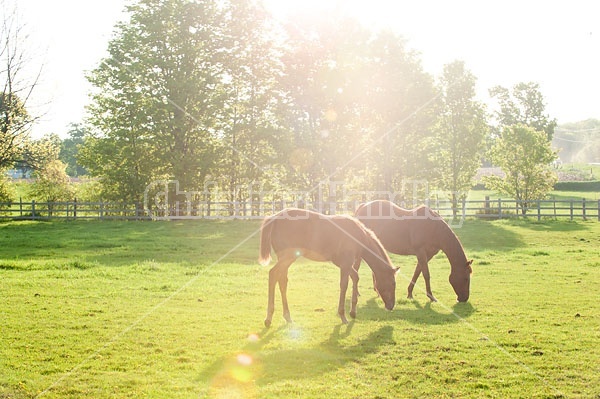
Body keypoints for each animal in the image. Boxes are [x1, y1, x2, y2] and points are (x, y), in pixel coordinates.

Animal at [258, 208, 398, 326]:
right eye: (393, 283)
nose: (391, 306)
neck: (358, 235)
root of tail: (275, 217)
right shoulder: (346, 264)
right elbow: (344, 285)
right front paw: (343, 316)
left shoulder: (343, 263)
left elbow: (355, 277)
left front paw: (353, 312)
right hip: (287, 257)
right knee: (273, 274)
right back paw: (268, 318)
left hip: (285, 260)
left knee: (282, 281)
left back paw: (287, 316)